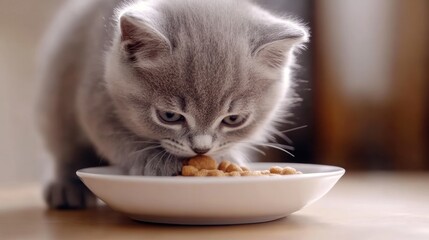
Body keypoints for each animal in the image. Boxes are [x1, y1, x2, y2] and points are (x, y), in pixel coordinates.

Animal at [37, 0, 308, 208]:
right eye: (169, 116)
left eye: (233, 119)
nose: (201, 149)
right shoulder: (95, 96)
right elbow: (116, 137)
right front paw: (156, 161)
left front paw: (227, 157)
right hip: (57, 91)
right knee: (66, 148)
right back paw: (68, 189)